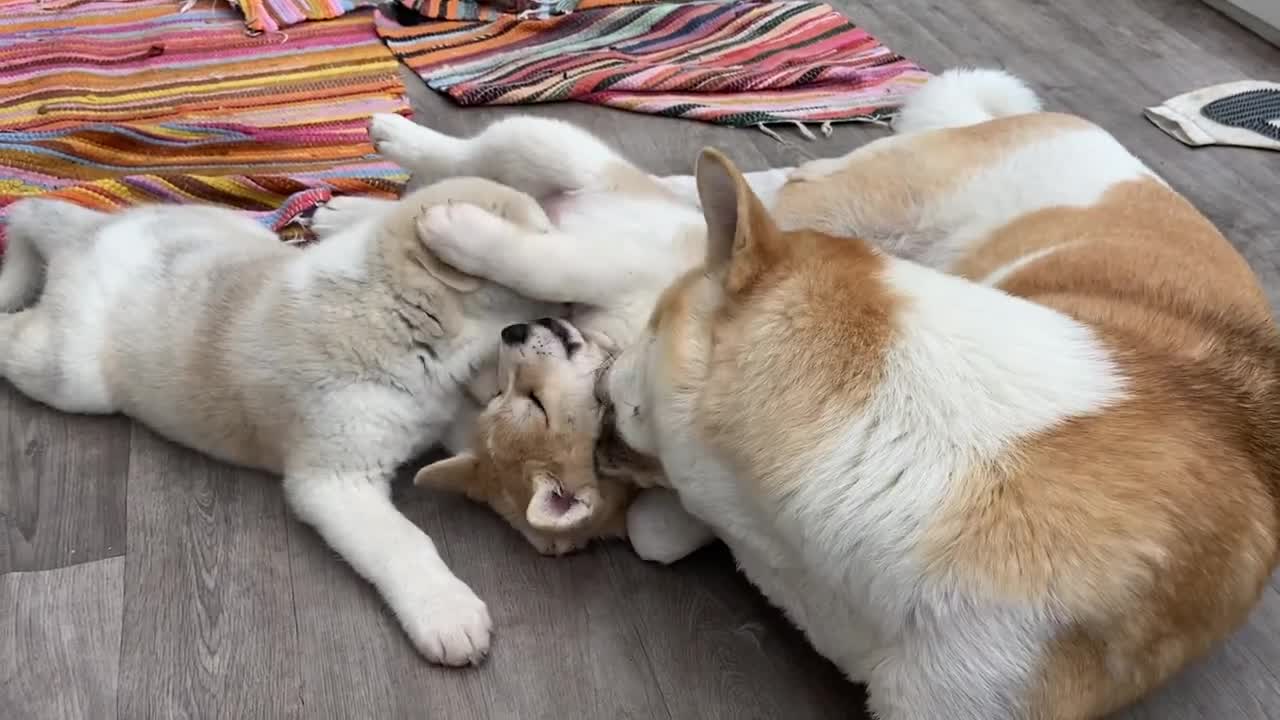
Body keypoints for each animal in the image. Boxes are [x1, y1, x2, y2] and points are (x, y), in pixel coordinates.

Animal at [0, 176, 560, 666]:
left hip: (233, 227)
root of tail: (91, 229)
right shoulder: (334, 481)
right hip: (72, 375)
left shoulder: (444, 410)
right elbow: (405, 542)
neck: (394, 311)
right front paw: (448, 613)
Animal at [427, 70, 1280, 712]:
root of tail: (1075, 128)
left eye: (546, 408)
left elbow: (658, 527)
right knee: (750, 183)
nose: (539, 342)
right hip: (842, 201)